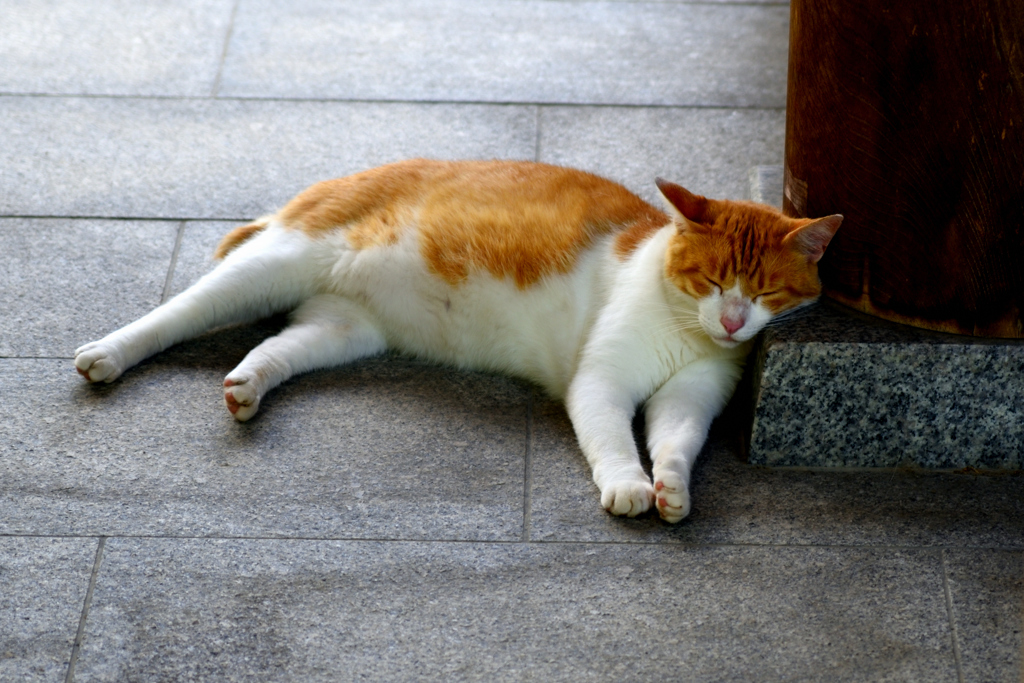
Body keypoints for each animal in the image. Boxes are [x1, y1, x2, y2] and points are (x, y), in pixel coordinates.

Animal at [72, 160, 839, 524]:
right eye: (711, 279)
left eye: (764, 293)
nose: (732, 322)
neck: (682, 329)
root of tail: (339, 178)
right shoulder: (602, 382)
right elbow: (614, 438)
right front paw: (628, 484)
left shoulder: (691, 396)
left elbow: (677, 442)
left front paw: (671, 488)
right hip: (270, 265)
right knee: (176, 313)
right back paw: (108, 353)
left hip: (343, 328)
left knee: (273, 350)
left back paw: (246, 388)